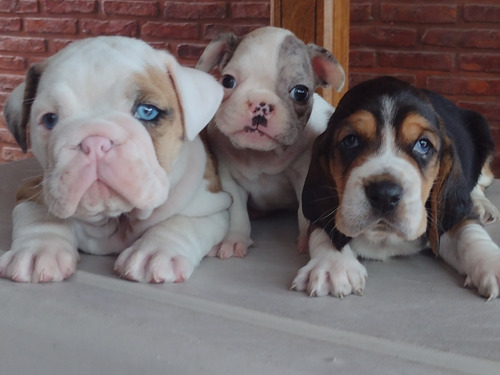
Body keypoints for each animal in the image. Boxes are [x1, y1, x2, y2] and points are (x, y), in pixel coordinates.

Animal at [0, 36, 230, 284]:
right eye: (50, 119)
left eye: (148, 111)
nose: (94, 143)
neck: (114, 218)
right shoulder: (33, 190)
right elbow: (43, 217)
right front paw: (38, 250)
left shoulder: (213, 205)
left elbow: (181, 222)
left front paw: (155, 252)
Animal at [197, 26, 346, 258]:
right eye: (227, 81)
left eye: (301, 92)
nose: (261, 103)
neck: (262, 155)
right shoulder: (229, 177)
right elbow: (237, 211)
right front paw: (234, 239)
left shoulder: (304, 174)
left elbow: (304, 211)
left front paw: (306, 240)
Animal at [292, 75, 500, 300]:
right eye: (350, 140)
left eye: (423, 144)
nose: (384, 195)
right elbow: (323, 229)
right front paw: (332, 265)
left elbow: (469, 234)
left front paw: (492, 263)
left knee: (481, 182)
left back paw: (482, 205)